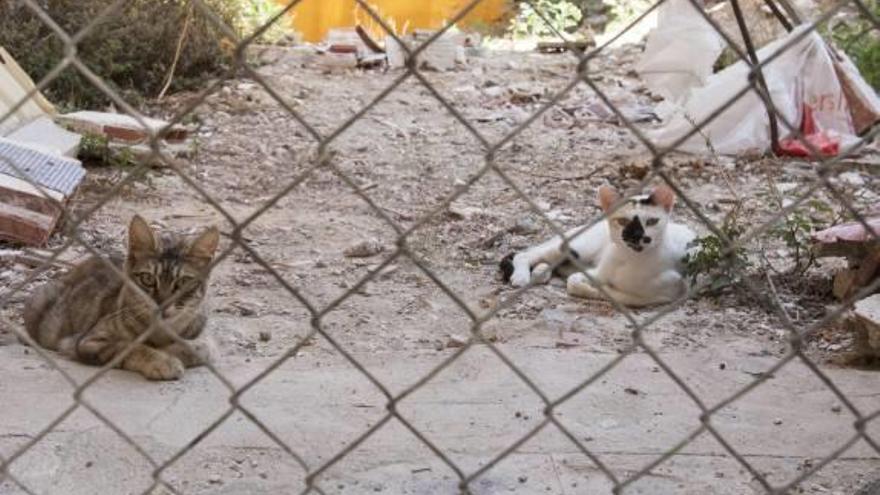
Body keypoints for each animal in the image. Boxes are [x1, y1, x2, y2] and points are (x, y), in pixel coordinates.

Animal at [24, 215, 220, 382]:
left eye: (183, 282)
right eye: (148, 279)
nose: (162, 304)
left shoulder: (206, 338)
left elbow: (199, 348)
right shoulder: (84, 342)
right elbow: (130, 347)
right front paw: (163, 361)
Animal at [502, 184, 696, 306]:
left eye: (652, 222)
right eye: (623, 221)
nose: (637, 237)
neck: (629, 260)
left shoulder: (672, 291)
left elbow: (620, 296)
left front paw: (601, 289)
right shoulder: (597, 271)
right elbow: (575, 281)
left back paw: (541, 272)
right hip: (577, 247)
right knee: (525, 254)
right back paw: (522, 276)